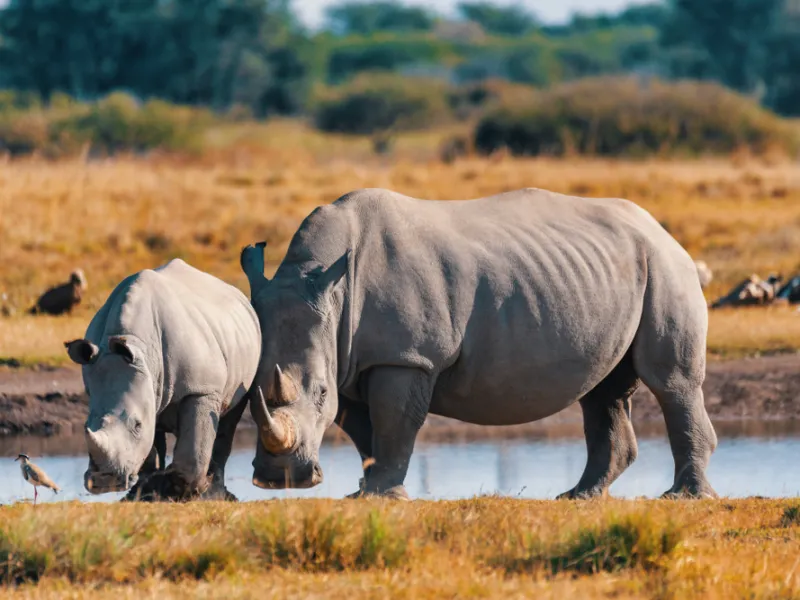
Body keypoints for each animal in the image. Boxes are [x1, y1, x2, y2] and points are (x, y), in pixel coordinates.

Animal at [65, 259, 261, 501]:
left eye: (137, 425)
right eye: (85, 425)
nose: (104, 482)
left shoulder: (202, 389)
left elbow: (194, 445)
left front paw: (187, 492)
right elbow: (149, 445)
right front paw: (146, 493)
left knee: (230, 416)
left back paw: (216, 492)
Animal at [241, 188, 718, 500]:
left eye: (320, 393)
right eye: (249, 396)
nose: (281, 480)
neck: (327, 286)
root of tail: (659, 227)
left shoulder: (407, 356)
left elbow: (393, 424)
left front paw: (380, 496)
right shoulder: (354, 359)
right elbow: (364, 430)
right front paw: (366, 492)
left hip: (665, 265)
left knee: (670, 383)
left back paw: (683, 497)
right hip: (615, 271)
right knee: (603, 391)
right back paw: (580, 496)